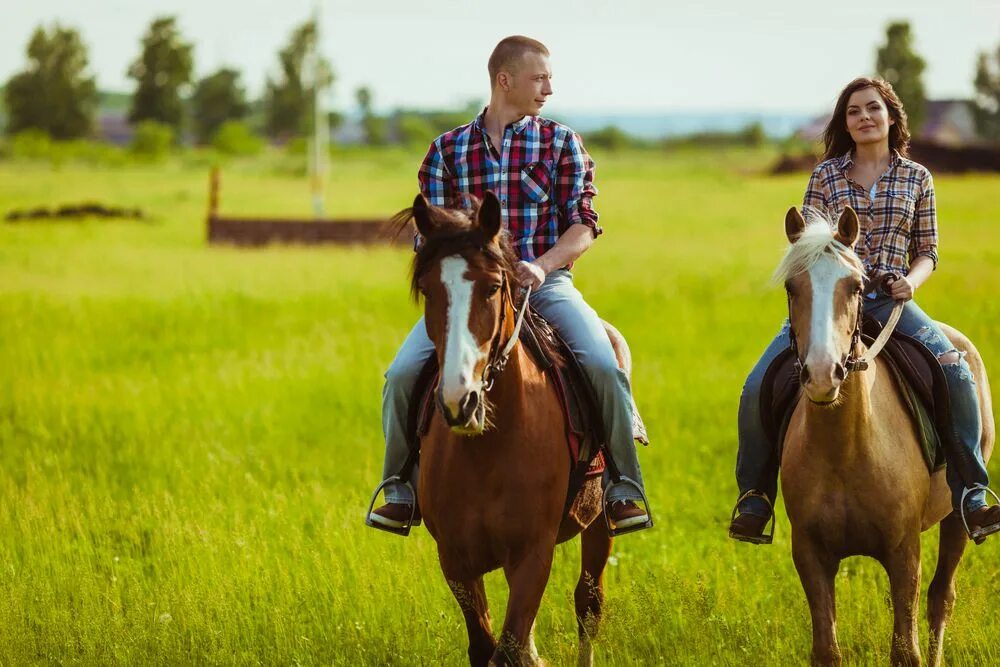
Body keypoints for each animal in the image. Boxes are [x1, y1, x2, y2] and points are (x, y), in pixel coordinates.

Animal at [398, 190, 624, 664]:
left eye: (493, 287)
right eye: (428, 289)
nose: (459, 402)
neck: (487, 450)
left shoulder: (533, 555)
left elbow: (511, 647)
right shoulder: (455, 559)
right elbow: (486, 646)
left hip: (600, 523)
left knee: (589, 605)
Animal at [776, 207, 988, 667]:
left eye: (856, 286)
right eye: (791, 286)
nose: (823, 375)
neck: (845, 447)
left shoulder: (904, 552)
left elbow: (905, 650)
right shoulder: (810, 554)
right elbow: (827, 650)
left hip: (957, 517)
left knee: (941, 598)